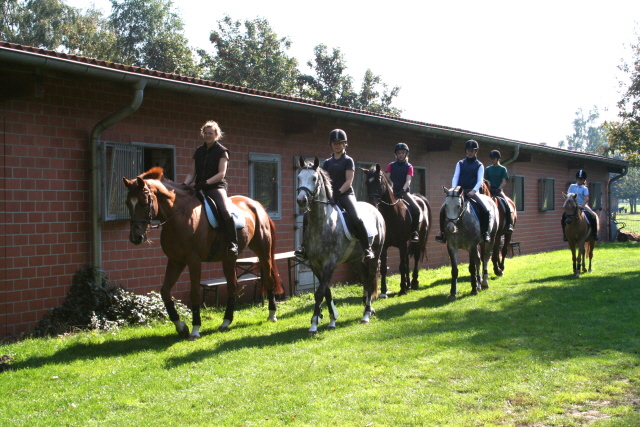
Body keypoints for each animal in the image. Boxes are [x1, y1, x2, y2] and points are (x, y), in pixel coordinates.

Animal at [121, 167, 282, 342]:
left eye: (144, 203)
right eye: (128, 204)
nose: (136, 238)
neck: (180, 216)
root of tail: (256, 205)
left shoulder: (194, 262)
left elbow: (195, 294)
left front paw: (195, 329)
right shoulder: (175, 261)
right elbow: (165, 292)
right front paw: (181, 327)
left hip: (263, 251)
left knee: (268, 280)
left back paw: (272, 315)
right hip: (229, 258)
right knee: (233, 286)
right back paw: (226, 322)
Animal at [296, 157, 384, 334]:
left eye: (314, 178)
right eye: (299, 177)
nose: (301, 200)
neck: (322, 223)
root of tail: (375, 209)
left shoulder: (330, 262)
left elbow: (320, 292)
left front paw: (314, 324)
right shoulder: (315, 263)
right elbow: (326, 291)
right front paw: (331, 319)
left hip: (374, 255)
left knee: (371, 279)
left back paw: (366, 314)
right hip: (355, 260)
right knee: (365, 279)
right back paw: (367, 309)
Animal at [362, 164, 432, 298]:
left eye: (378, 181)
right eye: (367, 183)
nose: (373, 203)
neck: (391, 213)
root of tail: (419, 198)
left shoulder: (402, 244)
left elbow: (402, 266)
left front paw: (402, 289)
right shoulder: (385, 246)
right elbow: (384, 268)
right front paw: (384, 291)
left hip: (419, 239)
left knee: (415, 258)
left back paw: (413, 283)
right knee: (407, 260)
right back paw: (408, 284)